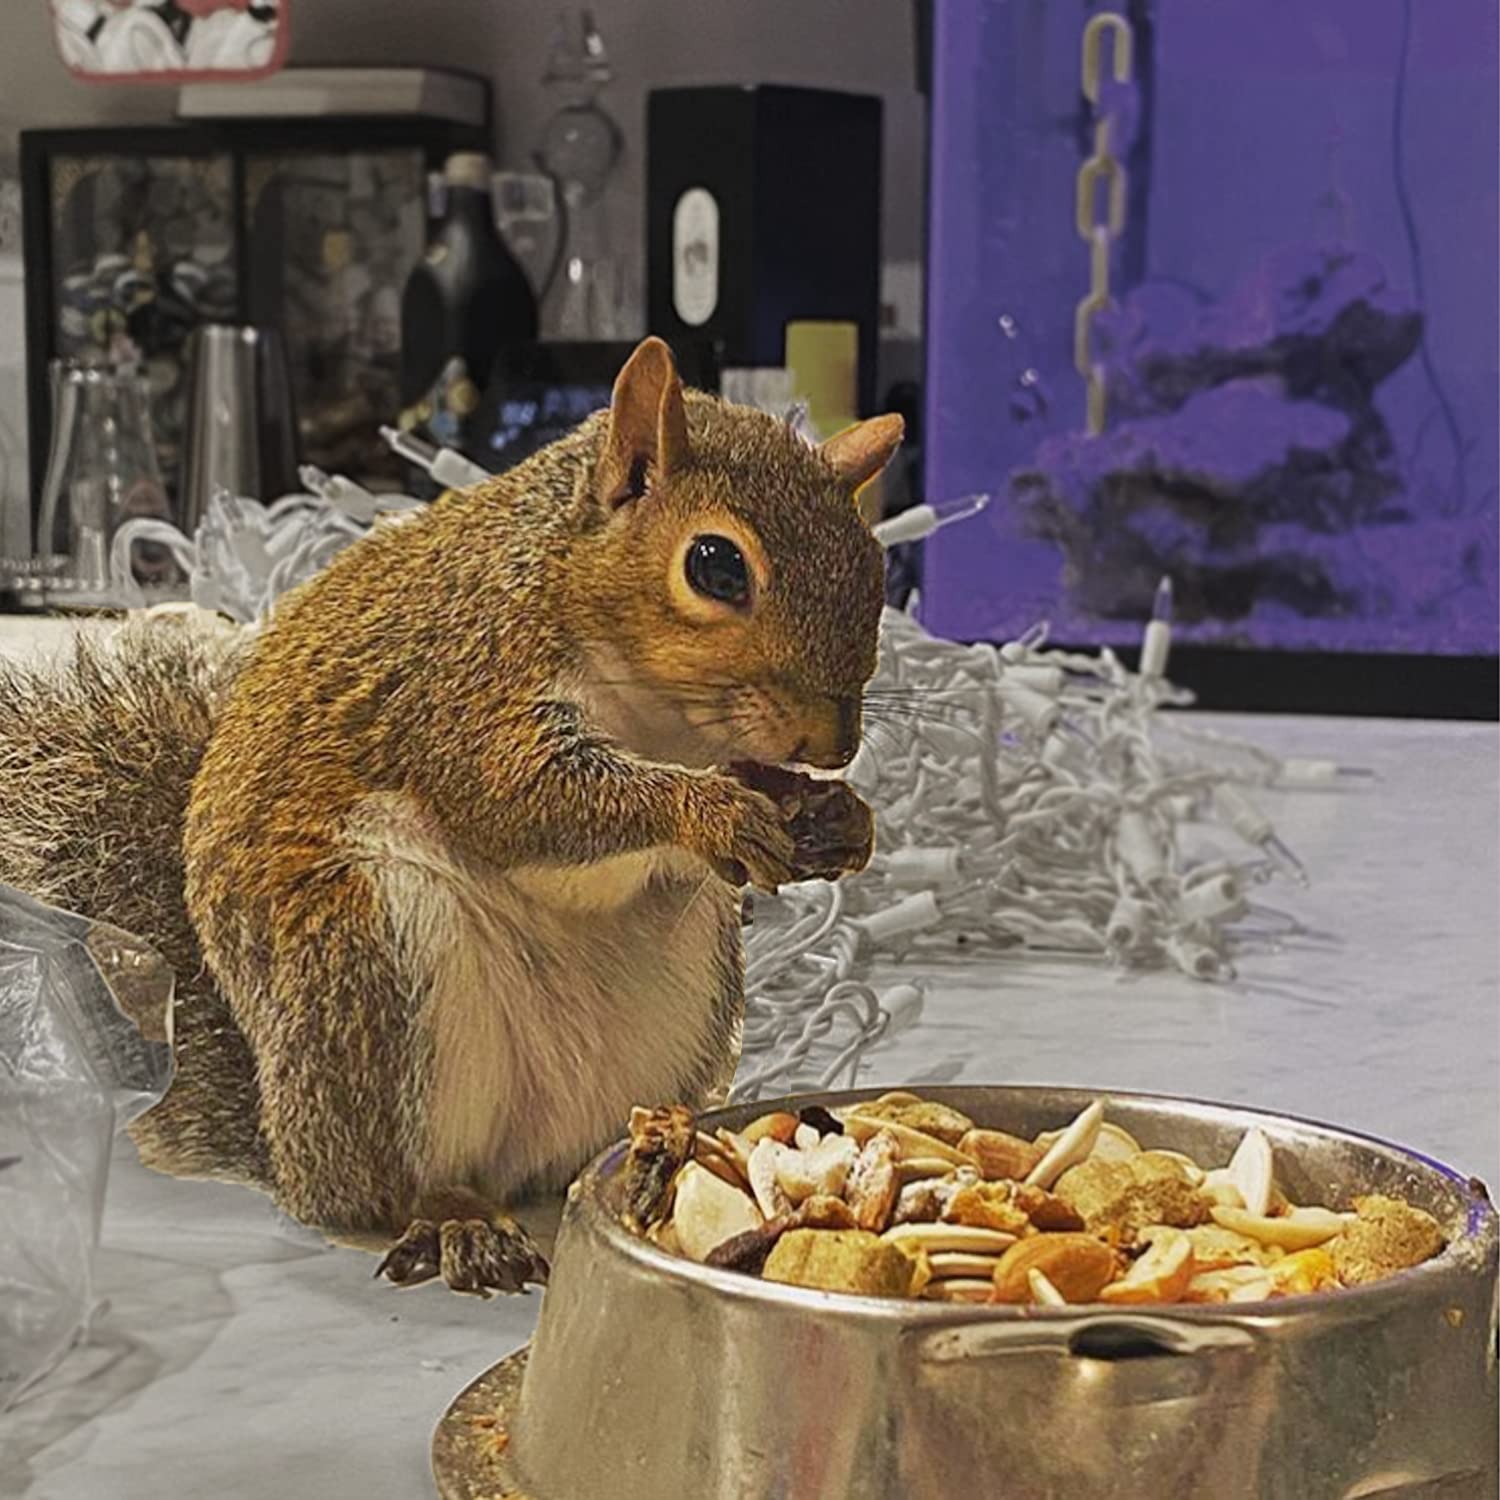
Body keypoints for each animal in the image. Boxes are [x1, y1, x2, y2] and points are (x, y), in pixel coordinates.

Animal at [0, 337, 902, 1294]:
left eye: (875, 567)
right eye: (716, 566)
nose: (834, 742)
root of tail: (289, 1147)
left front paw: (840, 818)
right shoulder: (462, 689)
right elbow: (527, 800)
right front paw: (713, 813)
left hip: (685, 992)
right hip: (373, 957)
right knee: (394, 1187)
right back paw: (458, 1220)